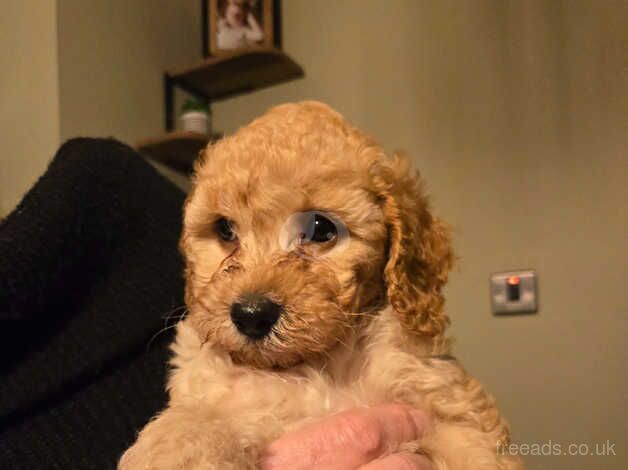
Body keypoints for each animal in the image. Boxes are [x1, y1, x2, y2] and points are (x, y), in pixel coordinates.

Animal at [118, 103, 520, 470]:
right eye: (225, 230)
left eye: (320, 228)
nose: (251, 315)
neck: (312, 365)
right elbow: (194, 417)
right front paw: (179, 450)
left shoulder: (447, 402)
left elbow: (477, 452)